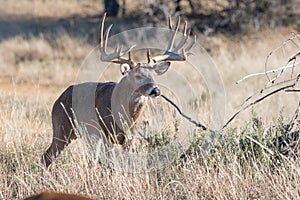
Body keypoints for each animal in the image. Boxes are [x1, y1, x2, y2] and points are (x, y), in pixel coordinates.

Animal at [42, 12, 196, 167]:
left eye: (153, 75)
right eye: (137, 76)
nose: (156, 91)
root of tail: (58, 99)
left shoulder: (130, 137)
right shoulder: (106, 133)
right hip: (62, 127)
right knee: (46, 156)